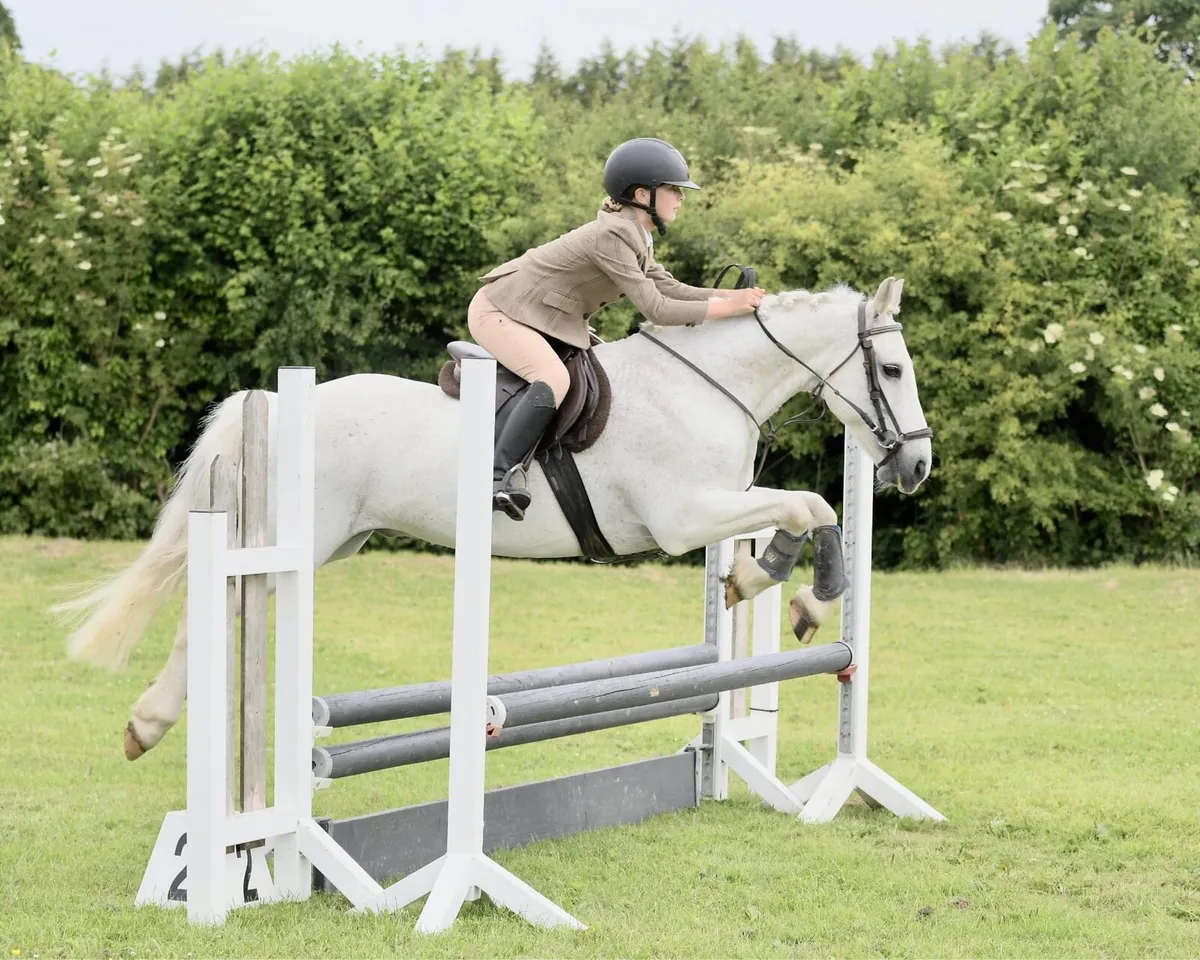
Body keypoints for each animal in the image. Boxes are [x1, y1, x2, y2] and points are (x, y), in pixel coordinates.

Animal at [55, 276, 933, 761]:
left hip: (333, 540)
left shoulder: (715, 506)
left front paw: (765, 583)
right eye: (892, 369)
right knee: (221, 606)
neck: (703, 385)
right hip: (294, 539)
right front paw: (793, 590)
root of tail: (271, 405)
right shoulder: (683, 518)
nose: (917, 468)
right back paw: (148, 724)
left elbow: (803, 507)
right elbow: (812, 503)